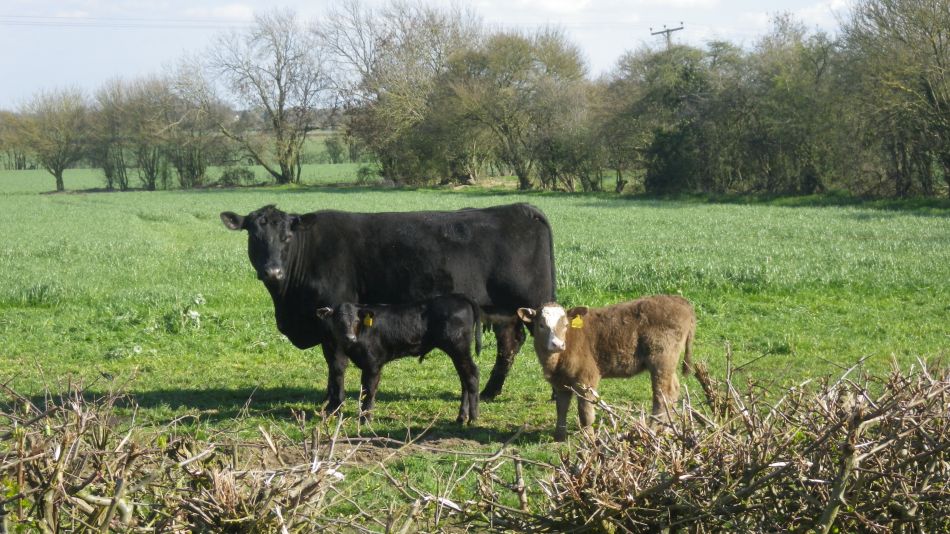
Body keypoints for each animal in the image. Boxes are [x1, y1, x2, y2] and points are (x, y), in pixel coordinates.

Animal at [316, 294, 482, 424]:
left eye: (356, 321)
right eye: (338, 321)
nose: (349, 338)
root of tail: (458, 297)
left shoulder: (373, 363)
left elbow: (369, 390)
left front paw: (365, 419)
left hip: (458, 348)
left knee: (472, 375)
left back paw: (473, 418)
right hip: (458, 352)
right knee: (464, 379)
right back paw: (461, 417)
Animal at [517, 295, 695, 441]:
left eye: (566, 325)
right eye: (541, 325)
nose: (557, 344)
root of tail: (680, 301)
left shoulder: (586, 378)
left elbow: (586, 412)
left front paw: (588, 438)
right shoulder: (560, 383)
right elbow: (561, 408)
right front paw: (559, 437)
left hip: (661, 359)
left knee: (661, 395)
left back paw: (652, 429)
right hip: (668, 364)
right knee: (673, 390)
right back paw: (667, 428)